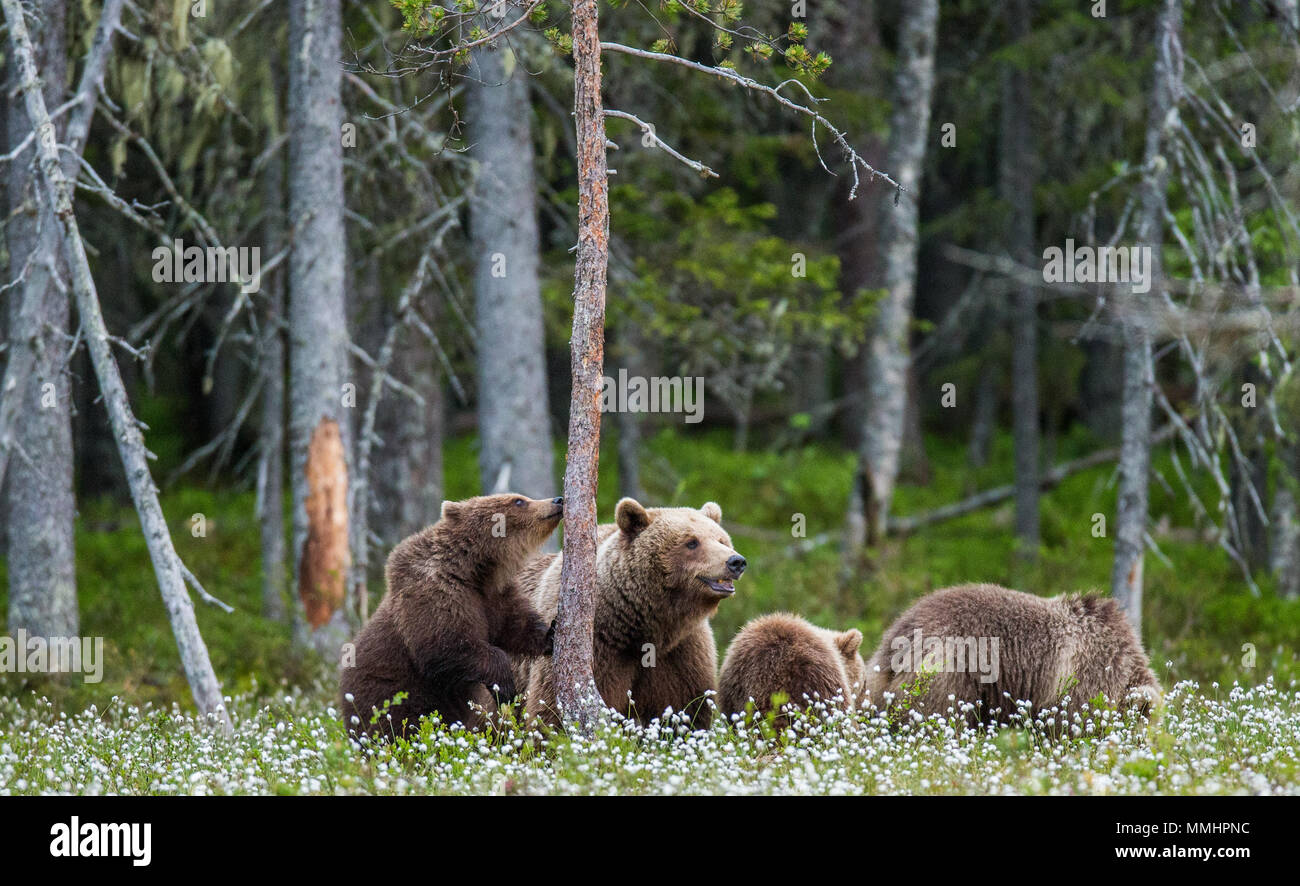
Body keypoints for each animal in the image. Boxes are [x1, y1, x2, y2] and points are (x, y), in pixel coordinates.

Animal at [339, 493, 563, 741]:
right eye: (519, 501)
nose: (558, 500)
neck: (474, 570)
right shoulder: (437, 594)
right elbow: (446, 644)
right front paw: (505, 685)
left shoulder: (493, 597)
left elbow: (514, 625)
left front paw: (550, 634)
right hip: (395, 695)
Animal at [513, 498, 746, 729]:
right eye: (692, 542)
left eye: (721, 540)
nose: (736, 561)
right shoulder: (598, 647)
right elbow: (550, 710)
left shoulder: (682, 652)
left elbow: (687, 709)